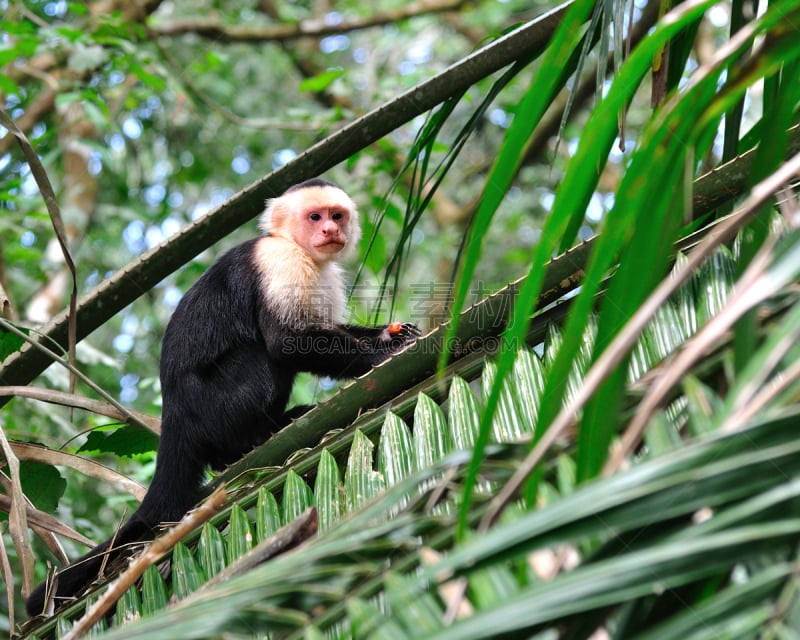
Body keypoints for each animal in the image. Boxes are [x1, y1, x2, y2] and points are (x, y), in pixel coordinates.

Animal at [26, 179, 418, 616]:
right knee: (260, 357)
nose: (330, 231)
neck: (293, 245)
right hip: (214, 404)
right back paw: (253, 439)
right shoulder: (280, 262)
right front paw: (381, 354)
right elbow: (289, 342)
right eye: (315, 217)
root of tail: (174, 416)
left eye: (337, 215)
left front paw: (391, 334)